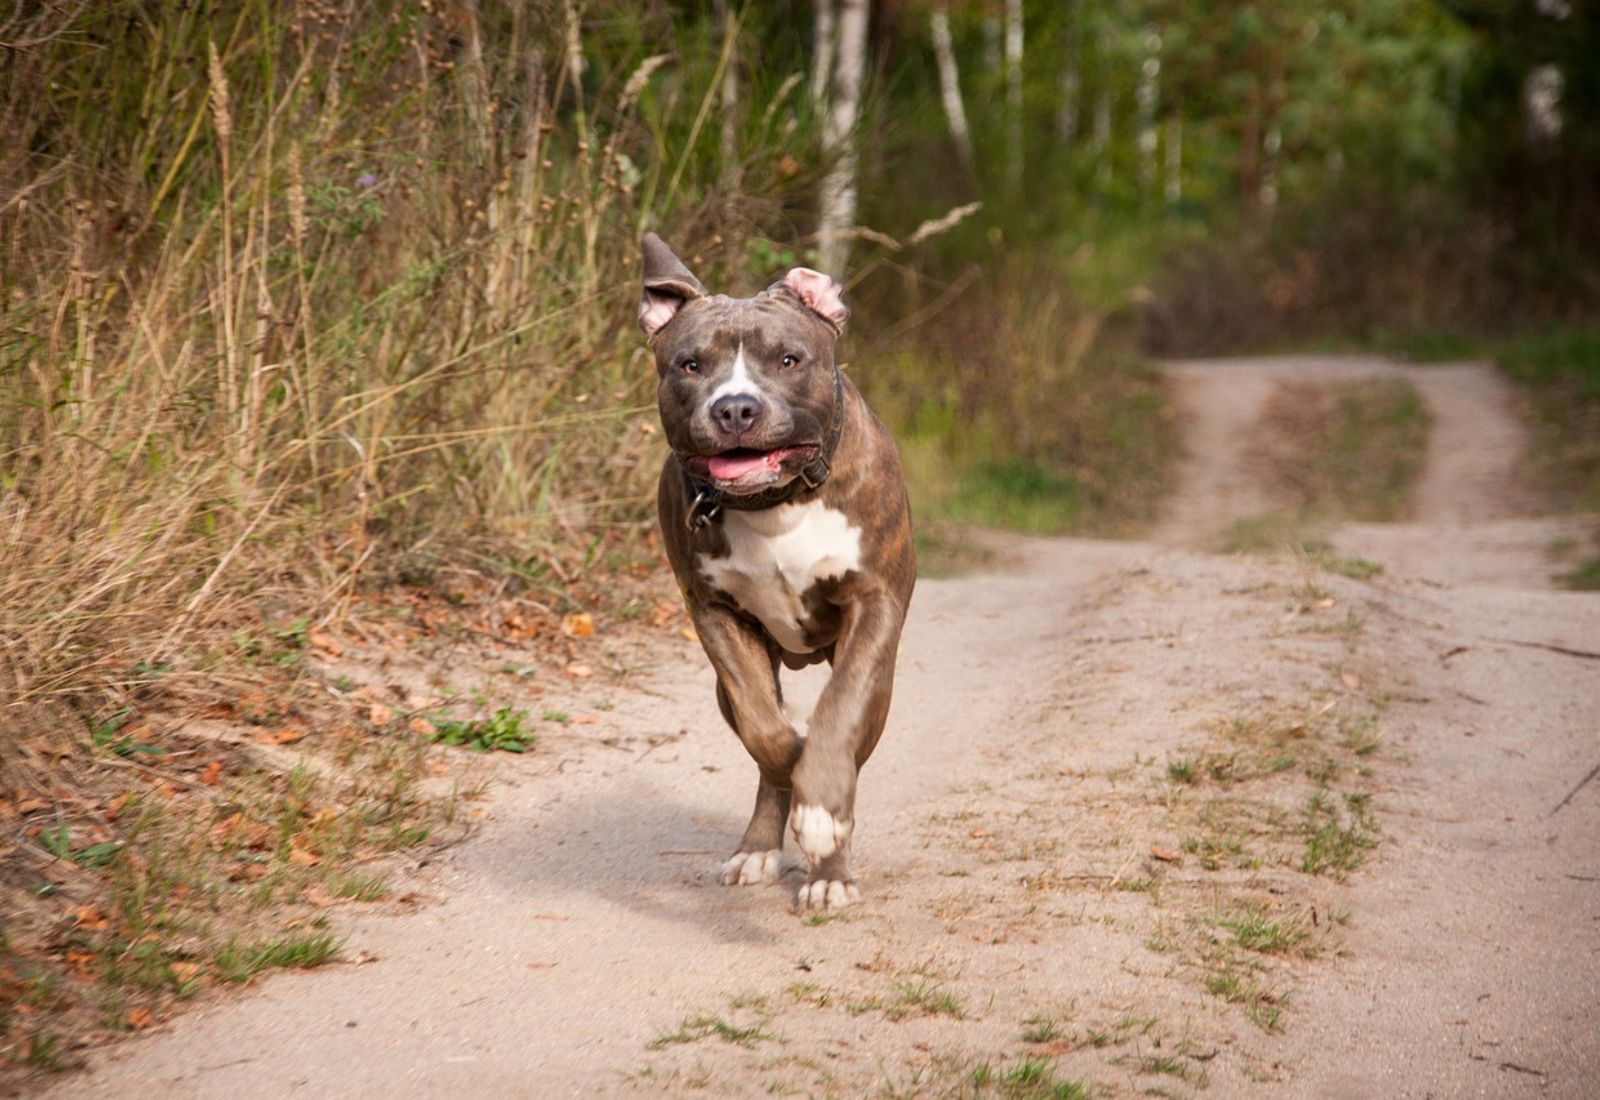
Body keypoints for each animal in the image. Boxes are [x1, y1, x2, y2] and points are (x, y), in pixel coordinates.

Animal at [636, 233, 915, 908]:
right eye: (690, 364)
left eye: (789, 360)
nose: (736, 408)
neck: (775, 504)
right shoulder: (714, 613)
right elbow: (767, 731)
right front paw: (795, 773)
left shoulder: (874, 605)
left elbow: (838, 717)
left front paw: (823, 817)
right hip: (725, 684)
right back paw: (761, 846)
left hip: (882, 681)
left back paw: (830, 869)